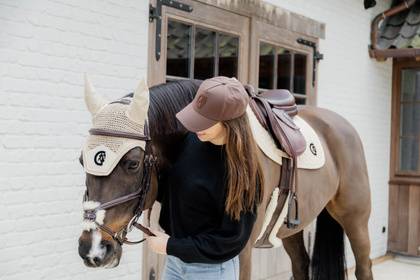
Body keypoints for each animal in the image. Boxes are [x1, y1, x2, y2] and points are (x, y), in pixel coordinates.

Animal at [77, 76, 372, 280]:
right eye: (82, 160)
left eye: (133, 164)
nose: (91, 250)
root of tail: (341, 124)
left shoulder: (242, 251)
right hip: (290, 229)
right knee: (300, 264)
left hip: (355, 219)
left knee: (364, 266)